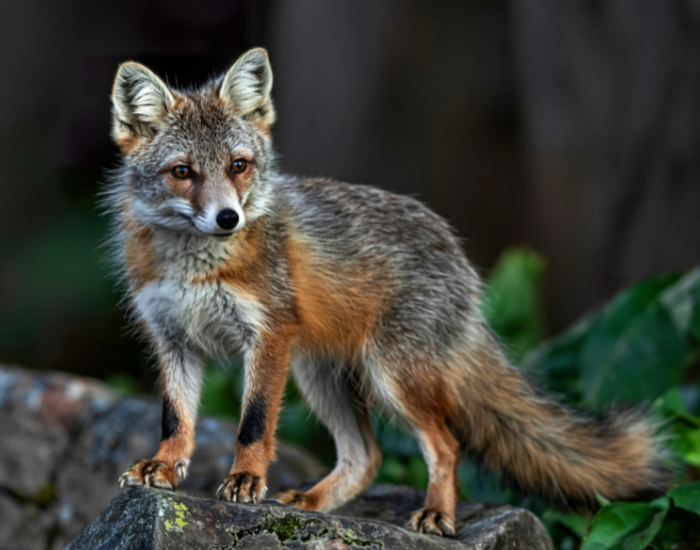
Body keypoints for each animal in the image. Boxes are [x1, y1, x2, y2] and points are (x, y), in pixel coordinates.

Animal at [108, 47, 671, 536]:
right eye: (183, 172)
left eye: (238, 166)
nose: (229, 218)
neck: (195, 269)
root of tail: (458, 253)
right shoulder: (173, 338)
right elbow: (175, 419)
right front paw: (164, 468)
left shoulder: (266, 335)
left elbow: (254, 423)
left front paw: (246, 479)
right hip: (321, 376)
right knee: (367, 456)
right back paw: (312, 503)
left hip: (391, 375)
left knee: (445, 446)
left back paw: (437, 515)